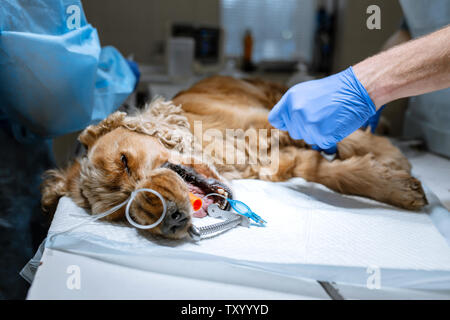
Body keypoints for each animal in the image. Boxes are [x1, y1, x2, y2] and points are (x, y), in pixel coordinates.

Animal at [42, 76, 428, 239]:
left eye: (124, 161)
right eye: (121, 214)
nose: (164, 216)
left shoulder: (277, 121)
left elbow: (345, 138)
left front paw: (392, 157)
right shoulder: (282, 163)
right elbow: (332, 172)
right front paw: (398, 186)